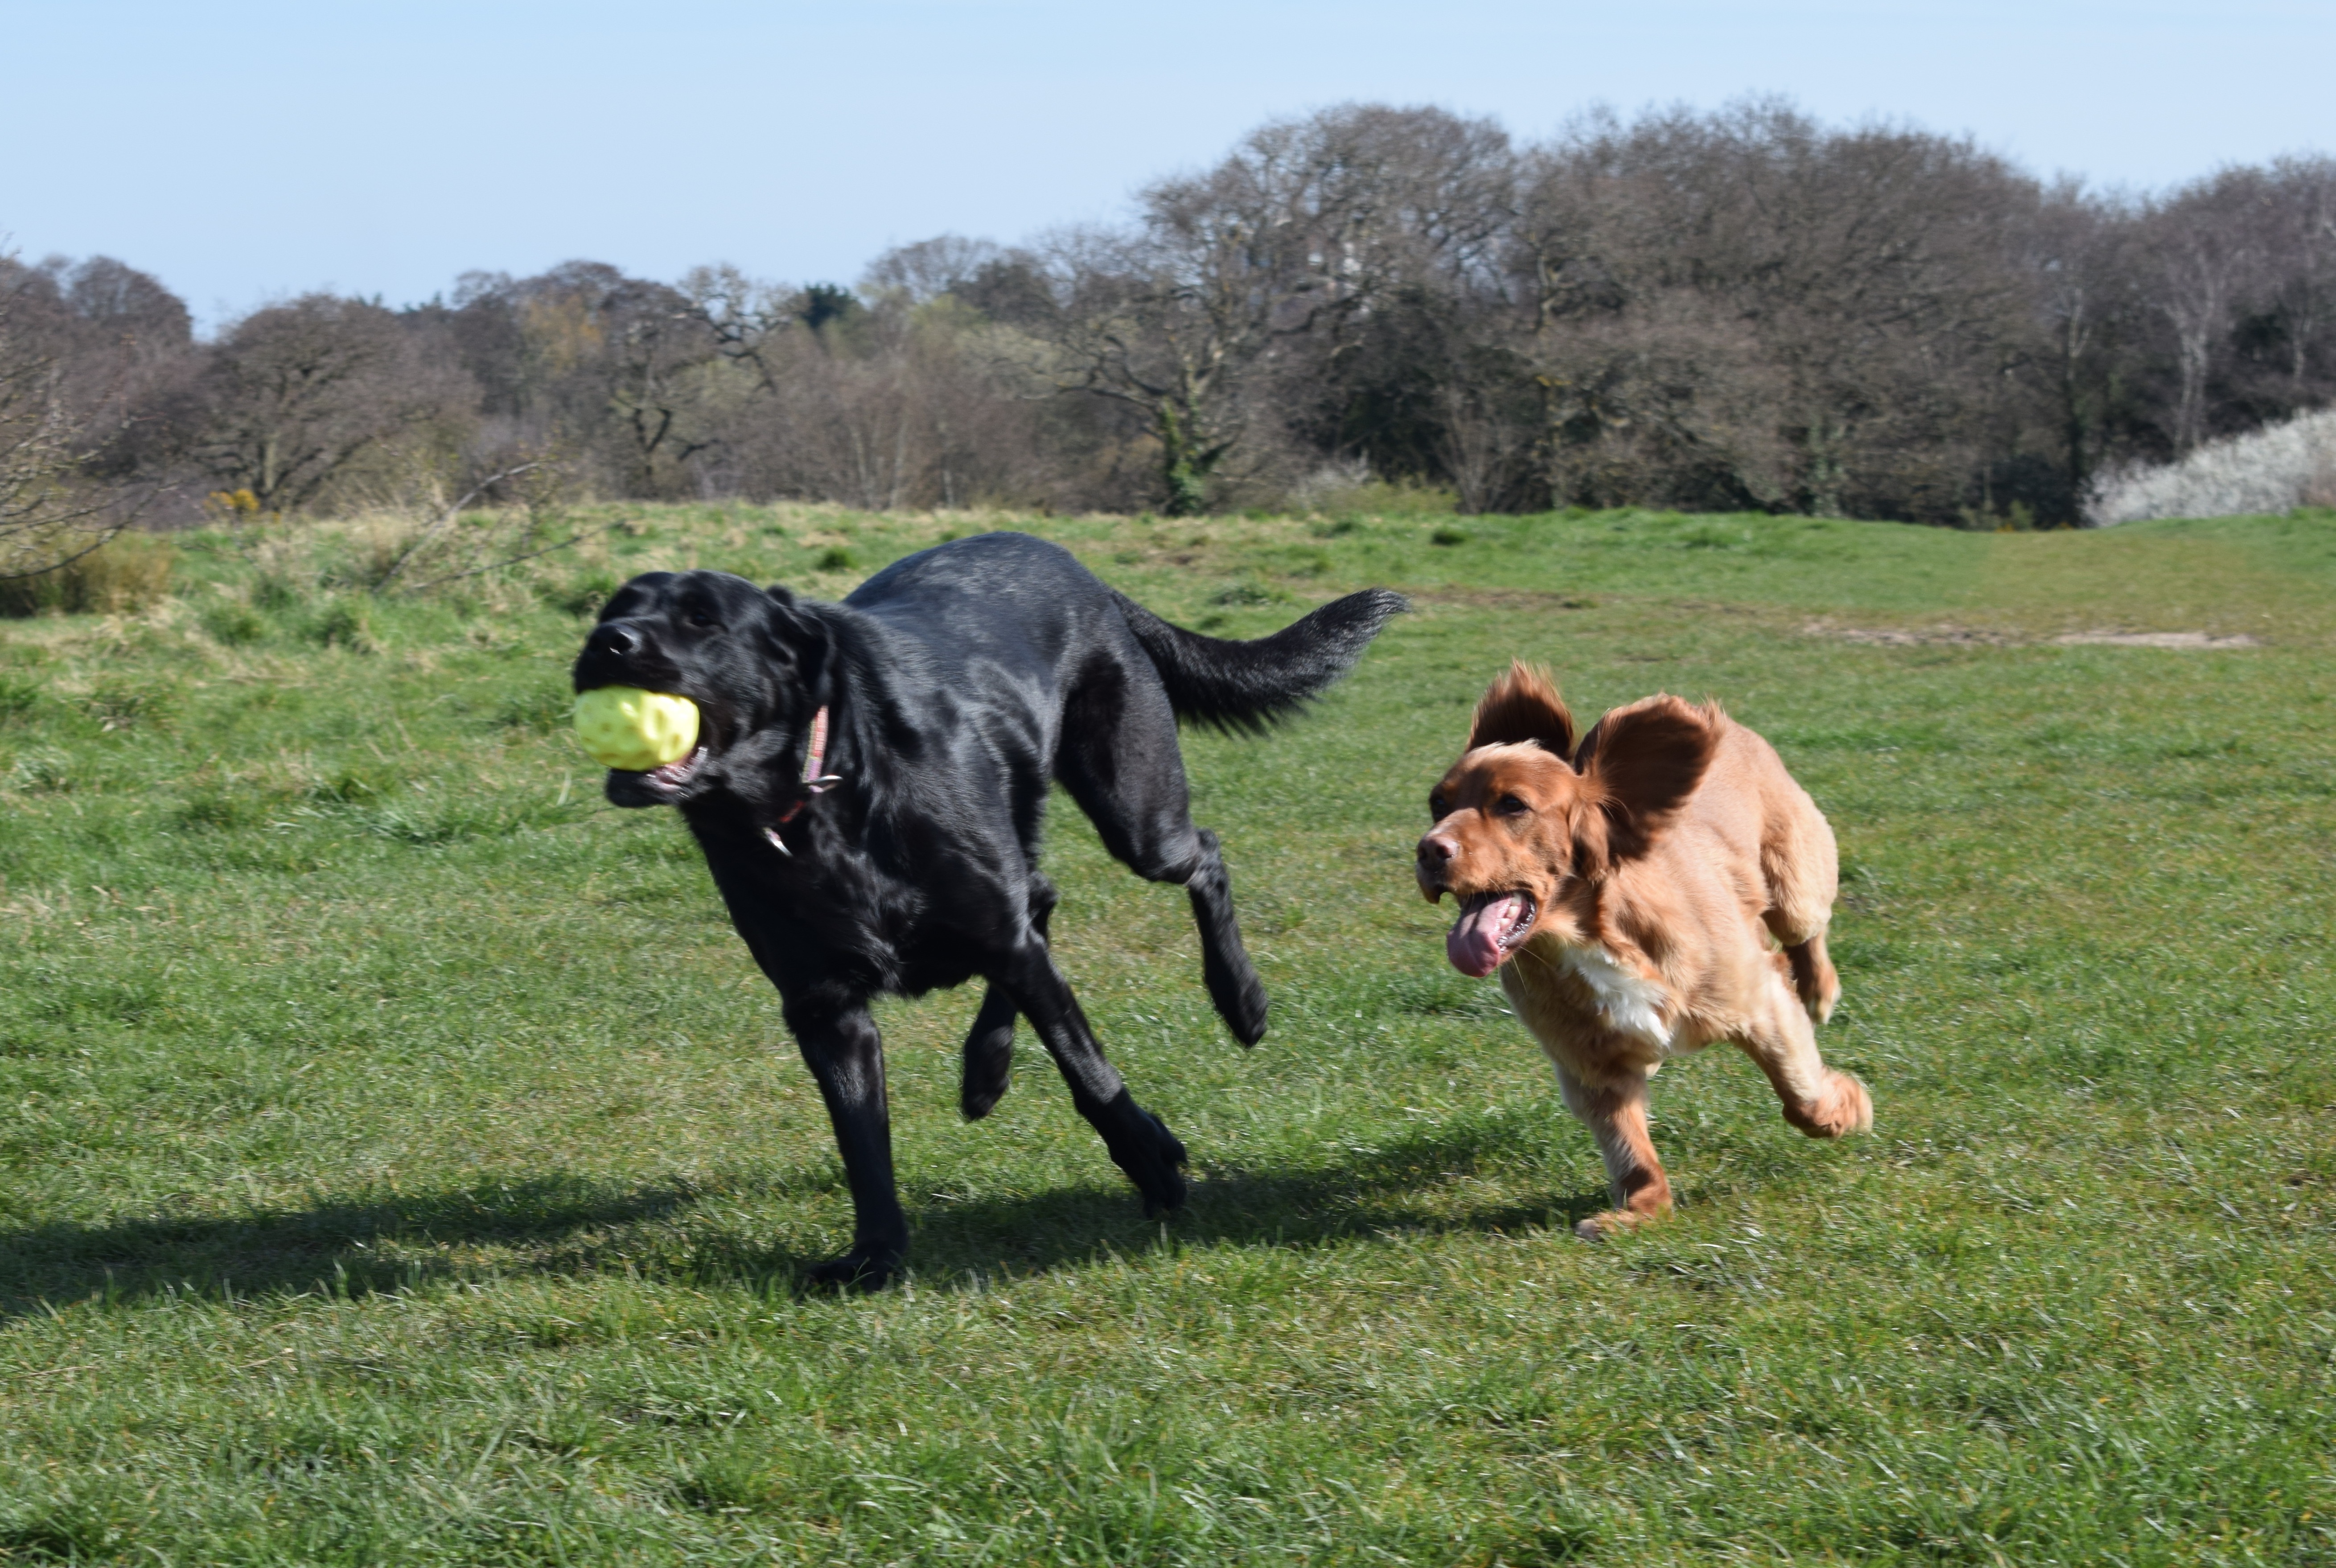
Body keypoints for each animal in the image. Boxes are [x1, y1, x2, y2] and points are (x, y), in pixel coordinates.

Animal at [573, 531, 1405, 1287]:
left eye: (703, 620)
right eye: (616, 607)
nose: (609, 643)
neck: (816, 806)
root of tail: (1076, 565)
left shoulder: (1000, 939)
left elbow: (1088, 1071)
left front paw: (1155, 1164)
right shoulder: (824, 1007)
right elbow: (862, 1140)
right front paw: (875, 1256)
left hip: (1135, 813)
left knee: (1198, 854)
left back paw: (1240, 998)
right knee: (1043, 897)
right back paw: (985, 1068)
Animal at [1414, 663, 1869, 1239]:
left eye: (1512, 804)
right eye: (1438, 804)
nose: (1428, 849)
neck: (1588, 936)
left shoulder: (1759, 1003)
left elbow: (1801, 1096)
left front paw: (1846, 1107)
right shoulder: (1590, 1066)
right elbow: (1627, 1145)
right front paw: (1641, 1210)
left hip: (1795, 878)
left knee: (1805, 930)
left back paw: (1817, 987)